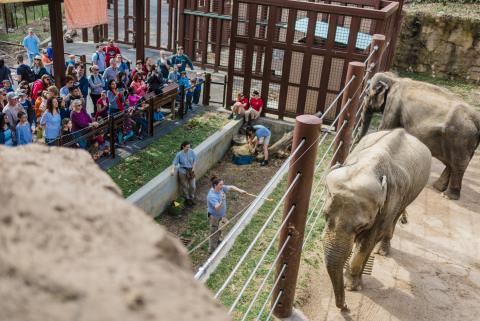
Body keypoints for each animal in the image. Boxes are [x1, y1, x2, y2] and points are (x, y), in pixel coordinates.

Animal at [322, 128, 432, 310]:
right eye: (325, 216)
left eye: (361, 226)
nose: (345, 306)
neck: (368, 166)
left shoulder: (390, 200)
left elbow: (369, 240)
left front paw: (352, 286)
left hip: (410, 194)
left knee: (393, 220)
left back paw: (382, 251)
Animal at [358, 71, 480, 199]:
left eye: (366, 94)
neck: (394, 79)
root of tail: (477, 119)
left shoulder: (393, 105)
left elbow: (384, 129)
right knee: (451, 162)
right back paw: (437, 187)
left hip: (461, 138)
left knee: (458, 164)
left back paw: (447, 196)